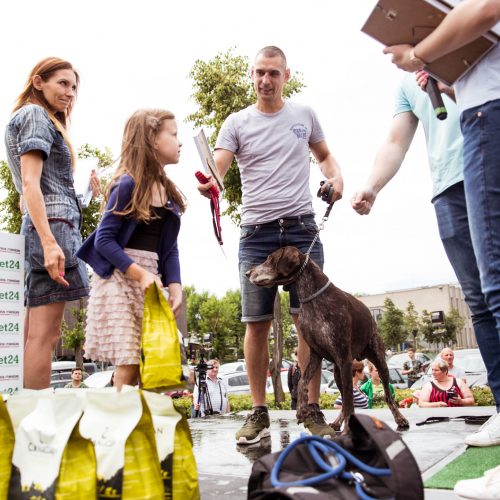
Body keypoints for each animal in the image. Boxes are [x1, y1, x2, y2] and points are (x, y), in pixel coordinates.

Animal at [247, 246, 410, 434]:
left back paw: (400, 419)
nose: (247, 273)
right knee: (344, 400)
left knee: (386, 396)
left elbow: (350, 402)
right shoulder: (316, 354)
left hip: (378, 362)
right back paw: (337, 422)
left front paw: (348, 430)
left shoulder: (344, 359)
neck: (312, 299)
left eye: (269, 258)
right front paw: (302, 409)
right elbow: (303, 382)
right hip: (338, 373)